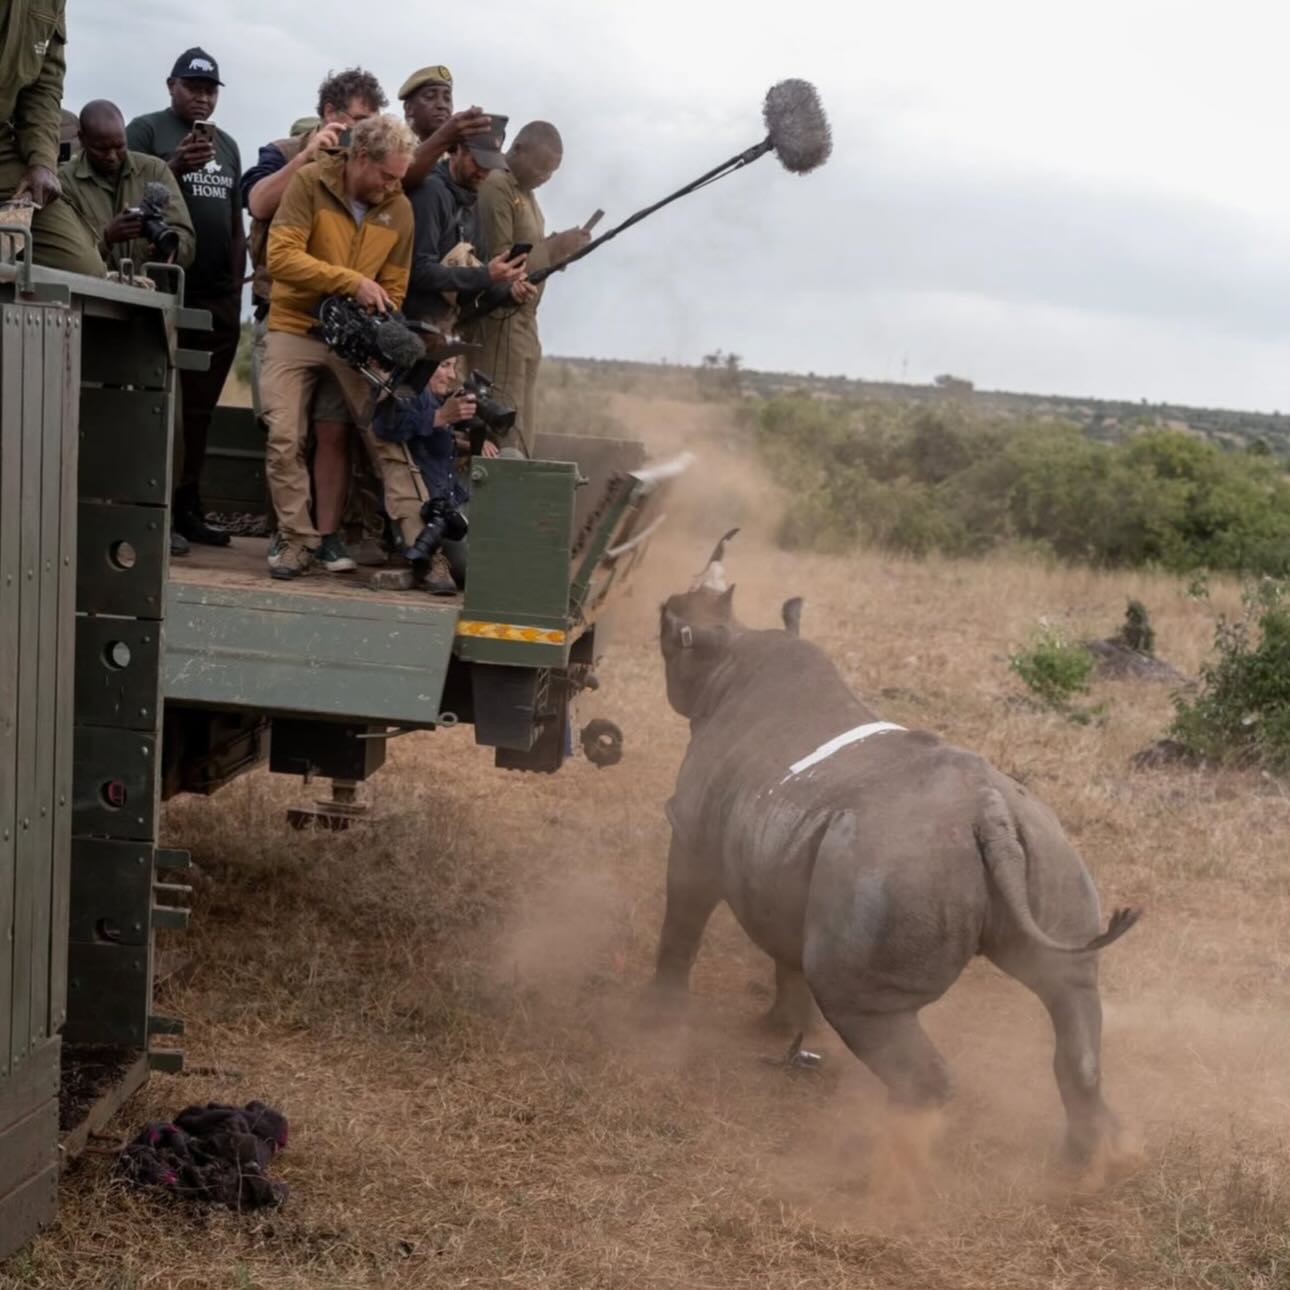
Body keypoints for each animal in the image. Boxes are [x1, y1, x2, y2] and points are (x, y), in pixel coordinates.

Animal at [653, 532, 1139, 1166]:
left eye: (668, 625)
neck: (729, 658)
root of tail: (990, 813)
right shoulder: (783, 862)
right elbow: (786, 950)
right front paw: (776, 1029)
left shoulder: (692, 832)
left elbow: (682, 918)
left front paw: (657, 1016)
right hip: (1042, 843)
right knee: (1071, 987)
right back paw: (1087, 1167)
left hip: (893, 868)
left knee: (861, 1005)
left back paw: (879, 1168)